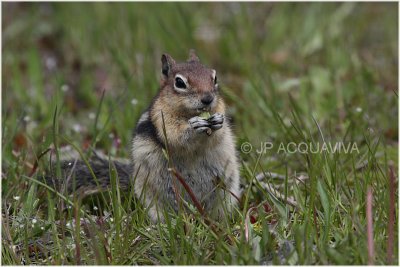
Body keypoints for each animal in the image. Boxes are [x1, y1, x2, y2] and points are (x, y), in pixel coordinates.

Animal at [48, 50, 241, 222]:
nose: (208, 99)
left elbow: (218, 133)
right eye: (179, 82)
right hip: (153, 197)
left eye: (214, 78)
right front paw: (194, 126)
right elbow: (175, 136)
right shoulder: (162, 118)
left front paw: (218, 121)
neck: (189, 113)